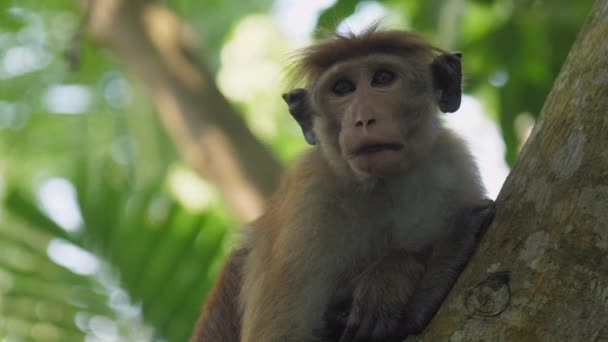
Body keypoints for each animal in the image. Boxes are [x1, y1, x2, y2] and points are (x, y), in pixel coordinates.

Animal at [192, 26, 496, 342]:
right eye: (342, 88)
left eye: (383, 78)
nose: (363, 119)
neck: (382, 186)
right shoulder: (308, 194)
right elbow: (281, 336)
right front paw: (400, 273)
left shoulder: (453, 165)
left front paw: (391, 276)